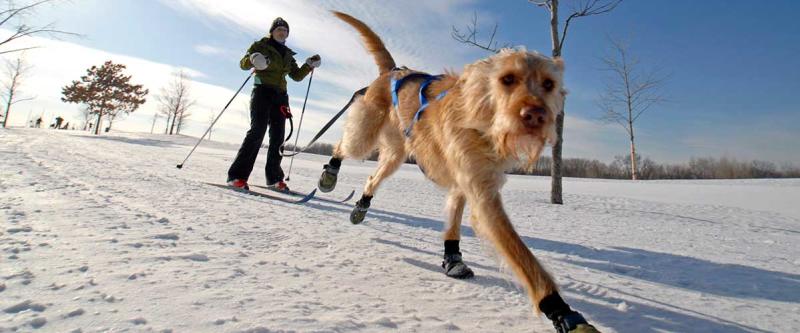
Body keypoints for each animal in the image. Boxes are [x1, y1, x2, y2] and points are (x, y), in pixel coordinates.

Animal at [322, 11, 596, 332]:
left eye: (549, 84)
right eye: (507, 79)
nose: (536, 115)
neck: (481, 120)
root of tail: (393, 72)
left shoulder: (468, 184)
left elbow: (453, 223)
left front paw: (452, 259)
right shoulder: (484, 199)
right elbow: (526, 260)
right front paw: (561, 311)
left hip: (395, 156)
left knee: (372, 178)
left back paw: (361, 206)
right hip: (364, 137)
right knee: (342, 146)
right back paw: (329, 173)